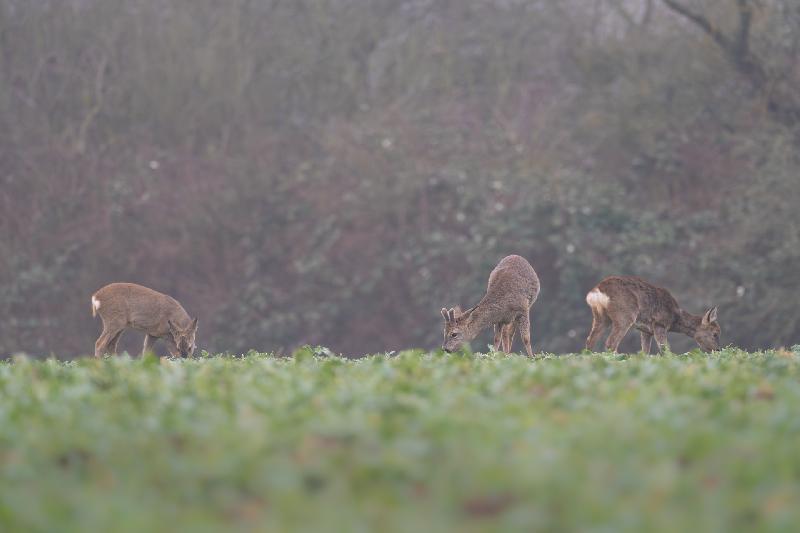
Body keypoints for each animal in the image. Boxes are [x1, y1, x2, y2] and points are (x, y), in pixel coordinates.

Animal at [584, 276, 720, 354]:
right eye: (715, 333)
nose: (718, 349)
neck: (674, 318)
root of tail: (596, 292)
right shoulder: (659, 324)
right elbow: (665, 349)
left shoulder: (645, 330)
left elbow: (645, 352)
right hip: (624, 315)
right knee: (611, 343)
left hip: (601, 317)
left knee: (590, 341)